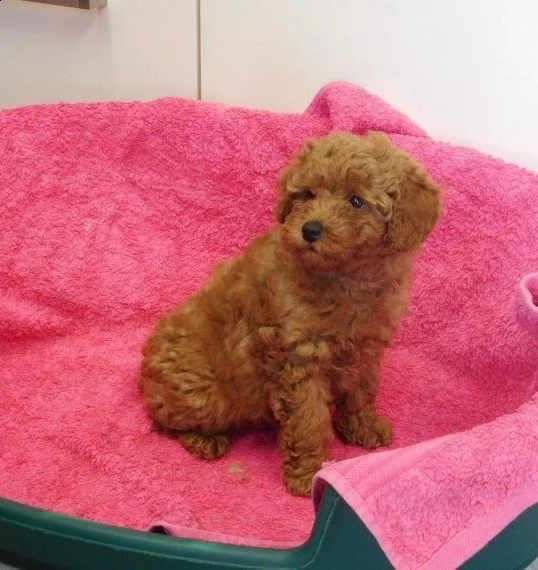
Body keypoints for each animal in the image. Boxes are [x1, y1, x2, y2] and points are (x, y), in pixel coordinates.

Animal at [140, 131, 441, 496]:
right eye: (307, 195)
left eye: (356, 201)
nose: (310, 230)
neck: (345, 277)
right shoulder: (298, 358)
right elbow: (308, 420)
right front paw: (309, 474)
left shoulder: (367, 348)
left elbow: (361, 393)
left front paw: (362, 429)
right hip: (205, 395)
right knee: (167, 419)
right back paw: (205, 439)